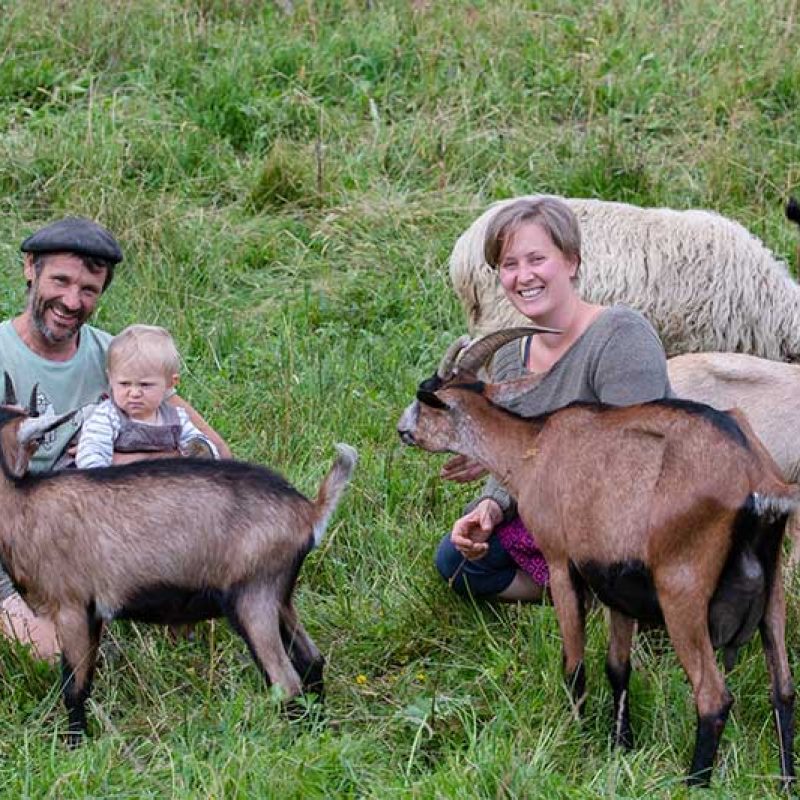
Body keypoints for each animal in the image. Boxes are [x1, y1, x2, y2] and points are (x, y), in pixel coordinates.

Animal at [0, 382, 356, 744]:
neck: (22, 503)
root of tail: (308, 510)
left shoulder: (71, 607)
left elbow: (73, 687)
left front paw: (75, 746)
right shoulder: (93, 613)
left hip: (252, 597)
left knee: (286, 680)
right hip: (280, 598)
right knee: (312, 659)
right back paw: (318, 730)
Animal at [396, 326, 796, 788]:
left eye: (426, 396)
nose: (402, 429)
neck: (534, 447)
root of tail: (754, 475)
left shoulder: (561, 562)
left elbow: (574, 664)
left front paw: (576, 740)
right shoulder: (616, 581)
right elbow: (617, 668)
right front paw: (620, 745)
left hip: (682, 588)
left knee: (713, 697)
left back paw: (695, 784)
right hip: (772, 589)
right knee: (783, 689)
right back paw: (786, 782)